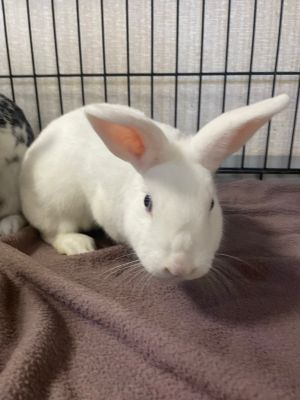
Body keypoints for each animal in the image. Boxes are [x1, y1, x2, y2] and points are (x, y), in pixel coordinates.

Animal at [19, 95, 290, 280]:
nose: (180, 267)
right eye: (147, 202)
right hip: (57, 204)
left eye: (211, 204)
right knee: (51, 232)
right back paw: (78, 245)